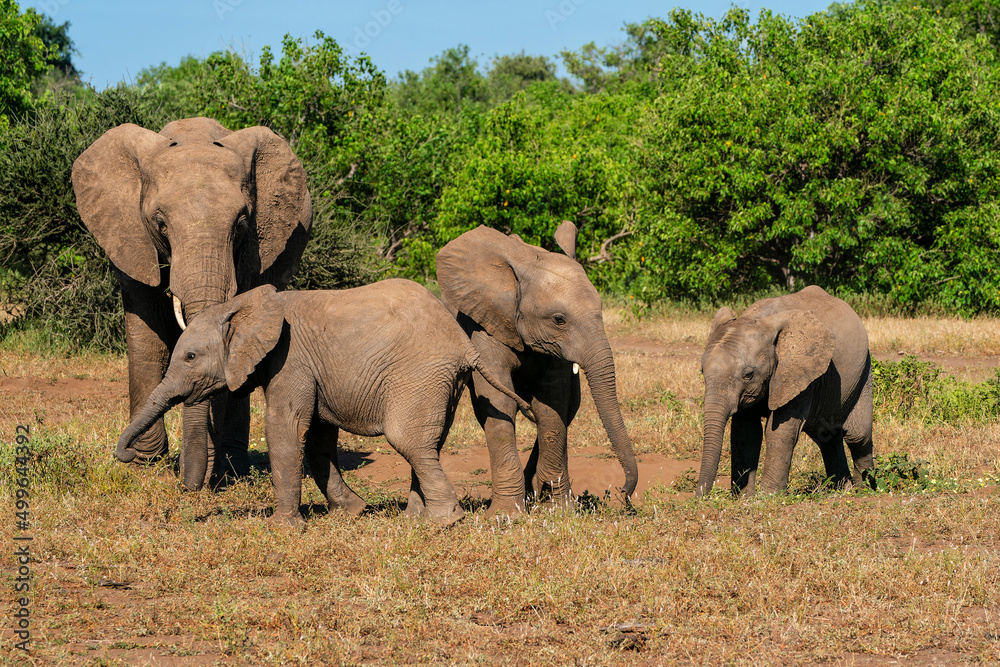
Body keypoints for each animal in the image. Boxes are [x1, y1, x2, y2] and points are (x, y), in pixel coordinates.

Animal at [73, 116, 312, 490]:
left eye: (241, 225)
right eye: (160, 224)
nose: (190, 485)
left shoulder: (253, 253)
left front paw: (212, 470)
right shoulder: (129, 237)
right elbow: (146, 330)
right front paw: (143, 463)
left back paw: (233, 465)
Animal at [113, 280, 536, 524]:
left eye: (189, 357)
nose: (126, 455)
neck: (244, 306)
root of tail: (464, 344)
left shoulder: (289, 359)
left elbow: (285, 428)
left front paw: (283, 528)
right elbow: (317, 435)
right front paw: (352, 512)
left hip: (420, 375)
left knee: (409, 441)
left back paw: (444, 521)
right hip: (440, 382)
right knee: (427, 444)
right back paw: (417, 519)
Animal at [434, 224, 636, 516]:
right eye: (559, 320)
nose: (623, 492)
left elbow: (552, 406)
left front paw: (559, 510)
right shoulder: (483, 322)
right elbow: (499, 404)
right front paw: (506, 514)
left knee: (569, 409)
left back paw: (536, 493)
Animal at [700, 284, 872, 498]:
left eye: (748, 375)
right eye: (702, 371)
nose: (700, 497)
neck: (762, 321)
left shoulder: (801, 372)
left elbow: (780, 431)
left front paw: (768, 497)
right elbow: (746, 431)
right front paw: (744, 497)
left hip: (863, 372)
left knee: (858, 435)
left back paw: (866, 488)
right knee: (827, 436)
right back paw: (842, 489)